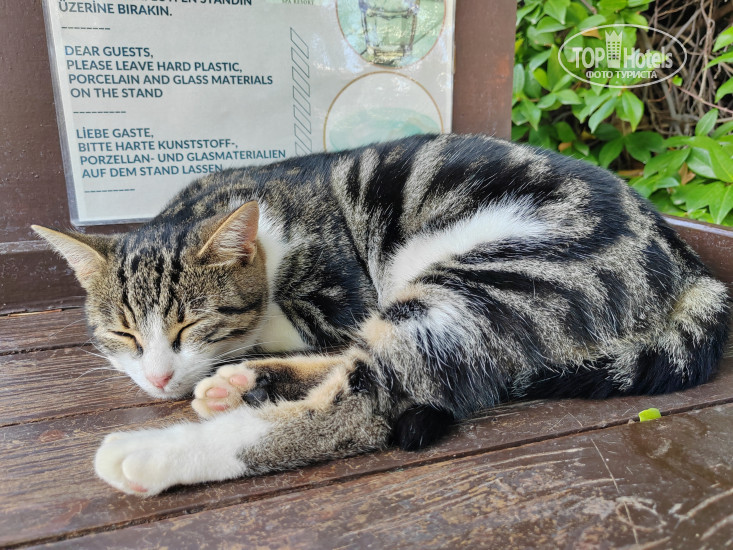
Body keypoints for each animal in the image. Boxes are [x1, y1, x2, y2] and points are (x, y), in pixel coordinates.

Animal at [33, 133, 729, 496]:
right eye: (122, 332)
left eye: (189, 325)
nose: (155, 378)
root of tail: (686, 260)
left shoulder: (336, 300)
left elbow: (286, 327)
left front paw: (229, 353)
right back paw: (242, 385)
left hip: (490, 271)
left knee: (368, 399)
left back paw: (160, 449)